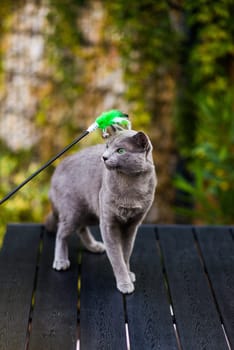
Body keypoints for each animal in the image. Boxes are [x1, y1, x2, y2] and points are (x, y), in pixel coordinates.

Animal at [44, 129, 156, 292]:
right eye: (107, 146)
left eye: (120, 150)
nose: (104, 157)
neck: (131, 186)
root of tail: (58, 168)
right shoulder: (108, 224)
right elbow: (116, 256)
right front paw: (124, 282)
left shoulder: (132, 225)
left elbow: (126, 253)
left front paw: (128, 274)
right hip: (73, 211)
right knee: (61, 233)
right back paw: (61, 261)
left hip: (89, 212)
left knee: (81, 229)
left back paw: (94, 246)